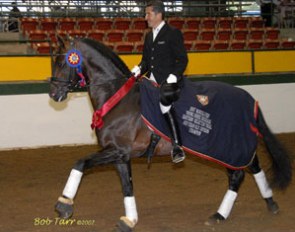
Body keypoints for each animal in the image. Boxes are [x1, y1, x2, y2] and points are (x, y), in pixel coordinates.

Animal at [49, 37, 292, 231]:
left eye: (61, 62)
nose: (54, 94)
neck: (117, 97)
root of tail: (249, 99)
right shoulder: (120, 154)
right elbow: (127, 186)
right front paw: (129, 220)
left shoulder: (117, 150)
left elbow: (80, 163)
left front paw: (64, 204)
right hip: (233, 147)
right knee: (252, 166)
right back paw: (269, 203)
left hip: (228, 147)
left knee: (238, 175)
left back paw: (220, 214)